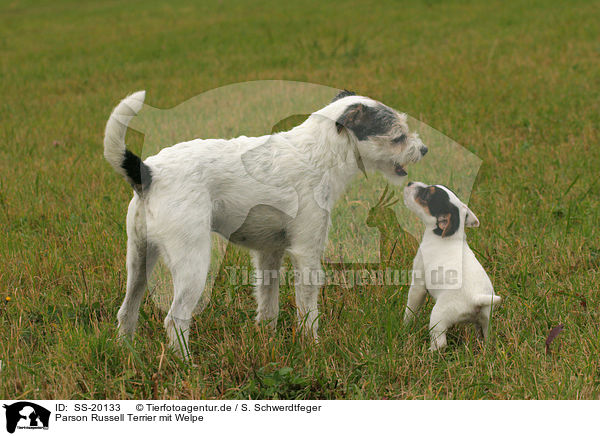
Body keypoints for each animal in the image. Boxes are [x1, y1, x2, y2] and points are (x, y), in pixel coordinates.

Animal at [104, 89, 432, 358]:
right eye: (398, 136)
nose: (424, 149)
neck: (320, 154)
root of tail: (149, 173)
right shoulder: (307, 253)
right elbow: (307, 308)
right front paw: (313, 346)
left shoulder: (268, 254)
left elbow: (268, 304)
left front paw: (266, 339)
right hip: (192, 264)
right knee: (175, 318)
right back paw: (186, 364)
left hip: (139, 258)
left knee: (127, 311)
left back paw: (126, 351)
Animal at [404, 181, 502, 350]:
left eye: (425, 195)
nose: (410, 183)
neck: (451, 235)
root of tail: (476, 298)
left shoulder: (418, 285)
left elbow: (411, 309)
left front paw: (405, 326)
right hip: (485, 321)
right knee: (486, 337)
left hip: (438, 316)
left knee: (440, 342)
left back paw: (429, 351)